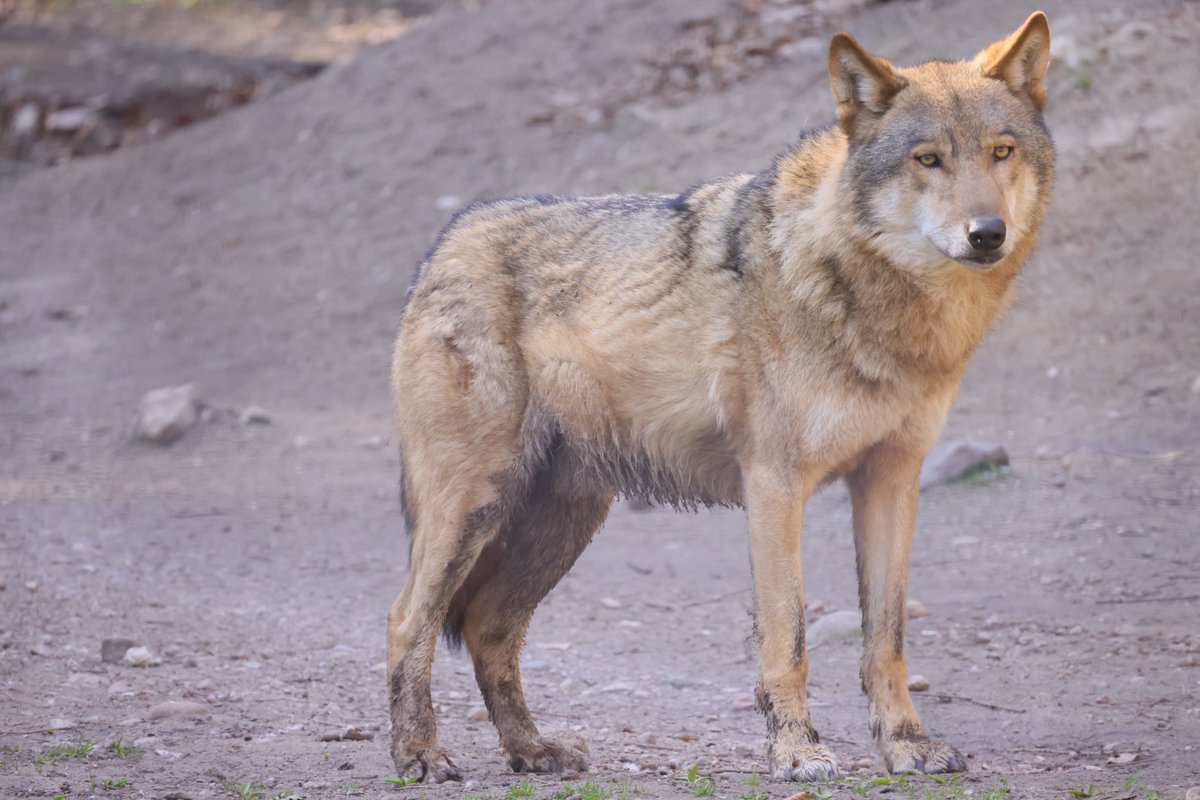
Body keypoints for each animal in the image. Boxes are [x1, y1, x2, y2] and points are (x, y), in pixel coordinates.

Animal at [386, 12, 1053, 783]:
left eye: (1000, 152)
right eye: (929, 160)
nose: (987, 234)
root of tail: (445, 242)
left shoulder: (892, 479)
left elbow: (885, 637)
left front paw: (905, 743)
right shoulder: (774, 485)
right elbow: (788, 637)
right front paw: (796, 750)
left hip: (562, 523)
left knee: (488, 628)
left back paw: (533, 751)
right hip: (473, 507)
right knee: (406, 621)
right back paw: (419, 755)